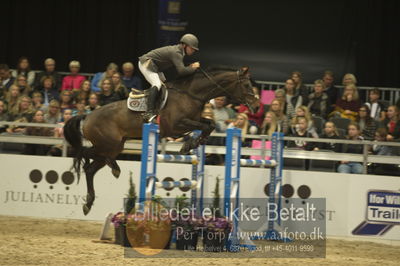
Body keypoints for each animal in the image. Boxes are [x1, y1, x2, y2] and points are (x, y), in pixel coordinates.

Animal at [62, 66, 256, 214]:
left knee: (90, 169)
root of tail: (87, 116)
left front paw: (192, 144)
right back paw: (110, 169)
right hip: (108, 144)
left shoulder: (192, 121)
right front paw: (189, 145)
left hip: (114, 146)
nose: (256, 105)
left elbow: (210, 124)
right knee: (83, 154)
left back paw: (90, 201)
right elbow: (206, 126)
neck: (191, 94)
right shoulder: (175, 126)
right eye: (247, 85)